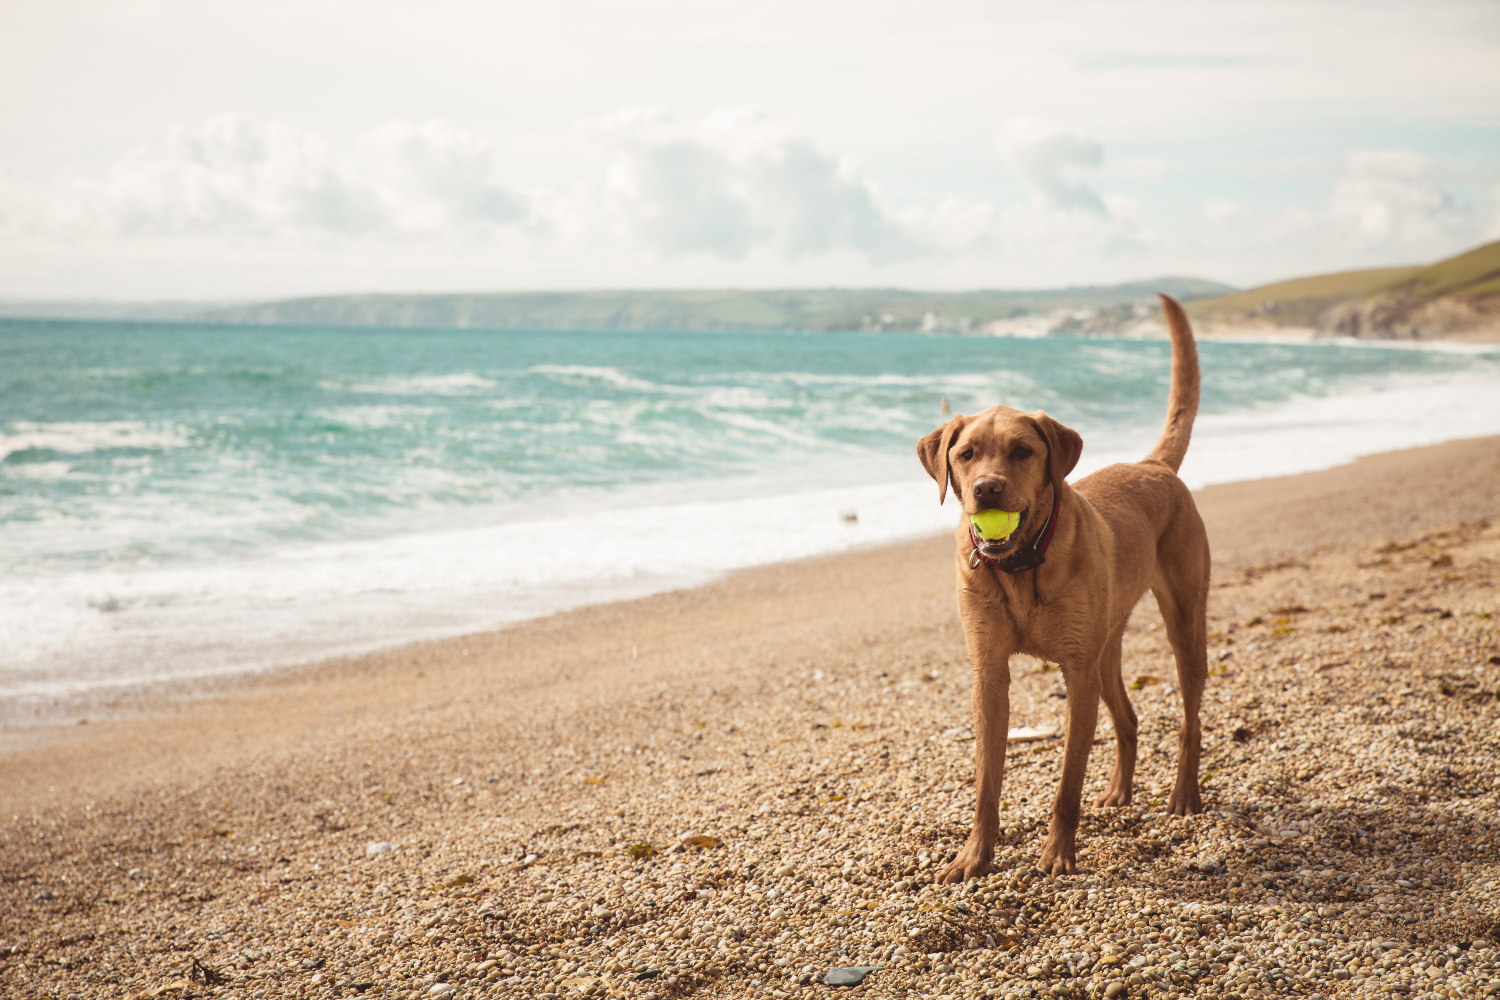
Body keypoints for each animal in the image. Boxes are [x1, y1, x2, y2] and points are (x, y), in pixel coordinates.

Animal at [906, 293, 1212, 881]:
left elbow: (1067, 782)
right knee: (1128, 718)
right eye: (966, 453)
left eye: (1022, 451)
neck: (1022, 563)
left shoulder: (1076, 671)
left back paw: (1185, 795)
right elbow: (987, 780)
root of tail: (1153, 465)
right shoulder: (989, 672)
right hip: (1107, 646)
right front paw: (974, 856)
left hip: (1184, 622)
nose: (987, 488)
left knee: (1190, 716)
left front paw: (1058, 853)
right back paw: (1118, 792)